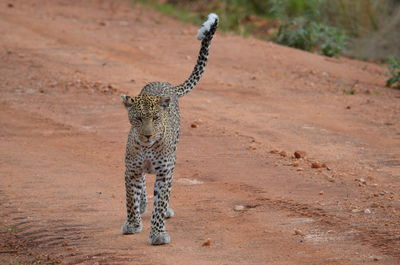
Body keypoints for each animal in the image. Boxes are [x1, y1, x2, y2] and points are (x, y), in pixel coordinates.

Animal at [120, 12, 219, 243]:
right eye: (138, 119)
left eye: (156, 118)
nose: (147, 136)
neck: (147, 148)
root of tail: (165, 84)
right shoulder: (131, 171)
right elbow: (130, 199)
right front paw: (133, 224)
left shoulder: (165, 173)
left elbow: (160, 203)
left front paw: (157, 233)